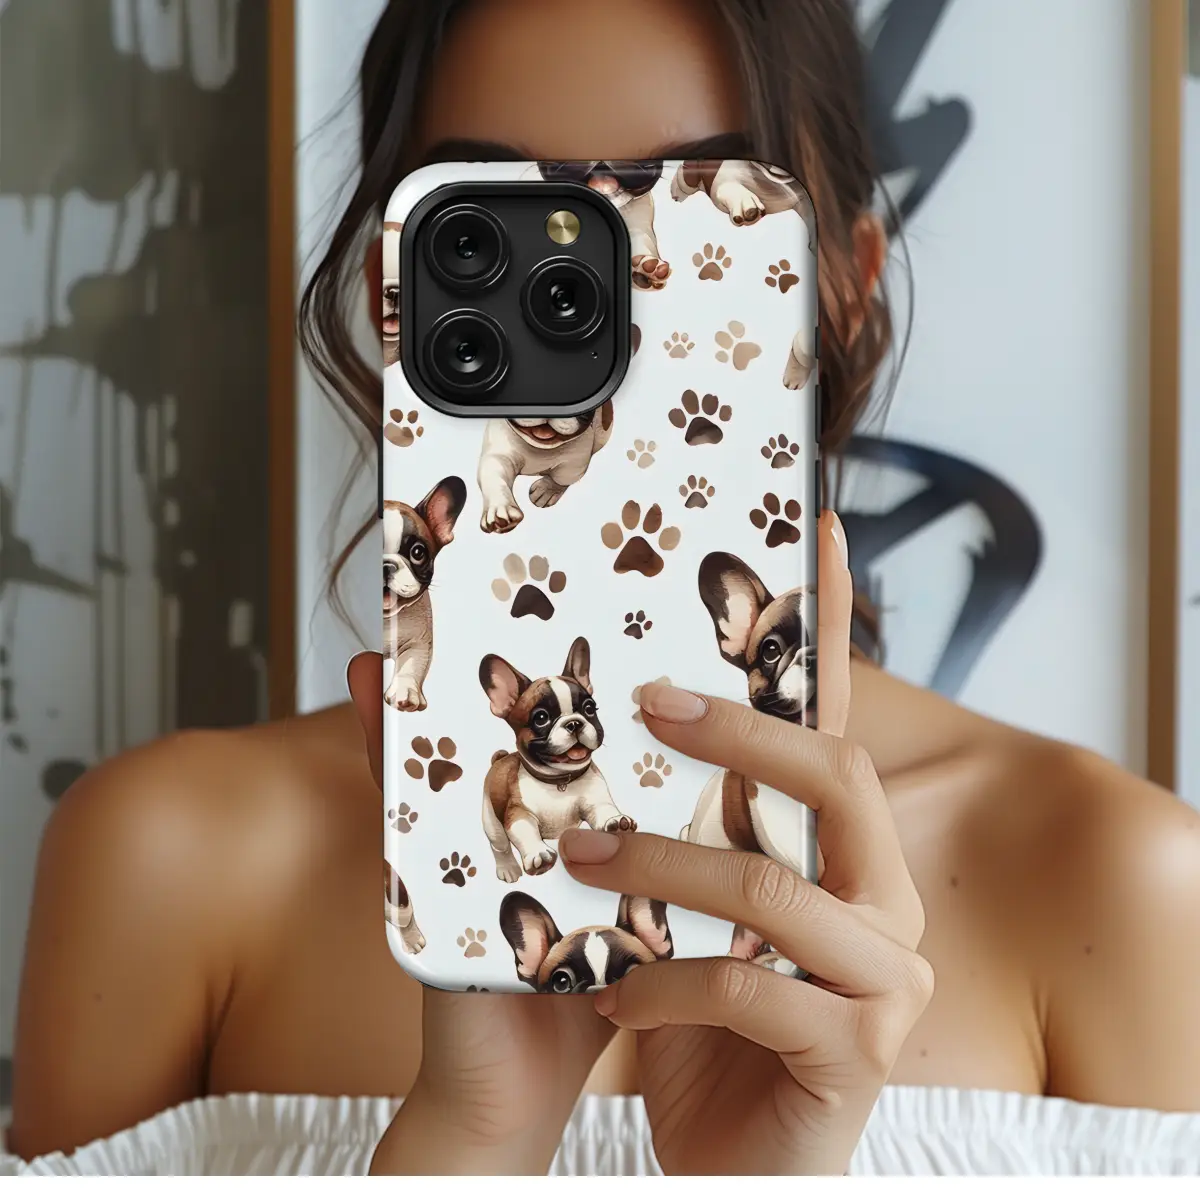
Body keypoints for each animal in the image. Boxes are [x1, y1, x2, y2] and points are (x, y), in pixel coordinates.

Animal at [477, 401, 613, 533]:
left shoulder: (574, 462)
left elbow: (561, 479)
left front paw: (547, 491)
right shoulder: (499, 453)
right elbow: (495, 478)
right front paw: (499, 511)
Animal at [480, 635, 636, 881]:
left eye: (590, 708)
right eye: (541, 718)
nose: (574, 723)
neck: (559, 781)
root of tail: (500, 758)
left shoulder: (596, 800)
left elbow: (604, 810)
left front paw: (616, 822)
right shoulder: (518, 813)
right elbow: (524, 830)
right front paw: (538, 853)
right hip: (491, 820)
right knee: (499, 846)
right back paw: (508, 869)